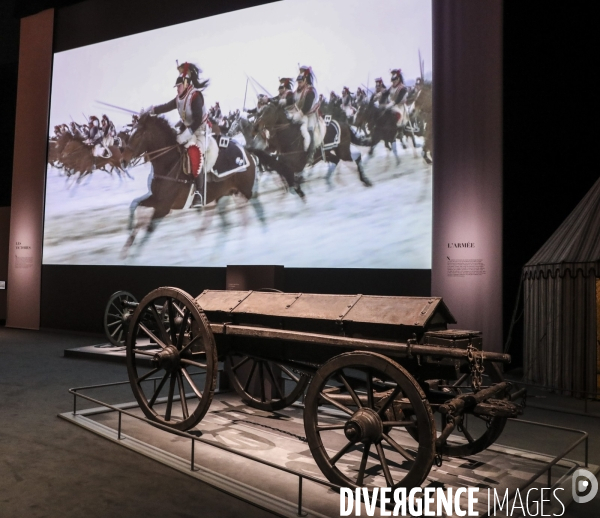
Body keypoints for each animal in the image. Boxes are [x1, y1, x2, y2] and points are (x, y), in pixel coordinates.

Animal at [120, 115, 264, 258]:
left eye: (138, 135)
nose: (123, 160)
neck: (169, 164)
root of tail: (247, 152)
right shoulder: (155, 199)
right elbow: (135, 205)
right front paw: (128, 240)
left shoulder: (163, 207)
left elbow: (149, 228)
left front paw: (134, 254)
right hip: (224, 195)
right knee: (227, 222)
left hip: (246, 190)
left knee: (256, 208)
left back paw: (262, 233)